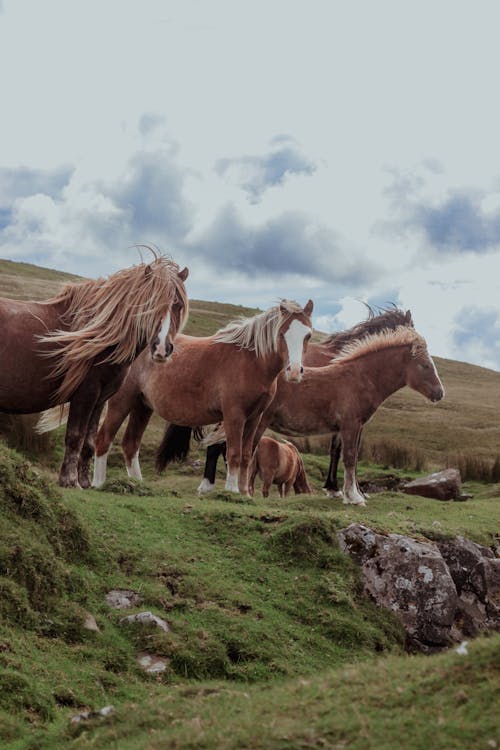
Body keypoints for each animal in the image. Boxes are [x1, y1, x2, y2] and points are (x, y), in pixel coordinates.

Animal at [0, 253, 188, 488]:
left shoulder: (100, 399)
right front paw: (70, 481)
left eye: (178, 306)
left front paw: (85, 482)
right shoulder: (85, 394)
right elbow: (75, 437)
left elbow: (89, 442)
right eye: (149, 305)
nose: (161, 348)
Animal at [92, 296, 314, 496]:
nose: (295, 371)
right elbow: (233, 453)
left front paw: (244, 493)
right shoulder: (234, 415)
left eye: (308, 336)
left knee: (131, 444)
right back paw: (98, 483)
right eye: (282, 333)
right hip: (122, 401)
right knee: (104, 438)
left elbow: (245, 456)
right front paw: (231, 491)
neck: (250, 362)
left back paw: (137, 484)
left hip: (142, 406)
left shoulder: (253, 418)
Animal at [162, 328, 444, 508]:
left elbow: (347, 457)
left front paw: (348, 493)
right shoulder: (351, 425)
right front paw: (353, 497)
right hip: (254, 421)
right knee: (236, 450)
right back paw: (234, 491)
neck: (358, 378)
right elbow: (350, 458)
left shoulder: (348, 428)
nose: (440, 393)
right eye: (425, 365)